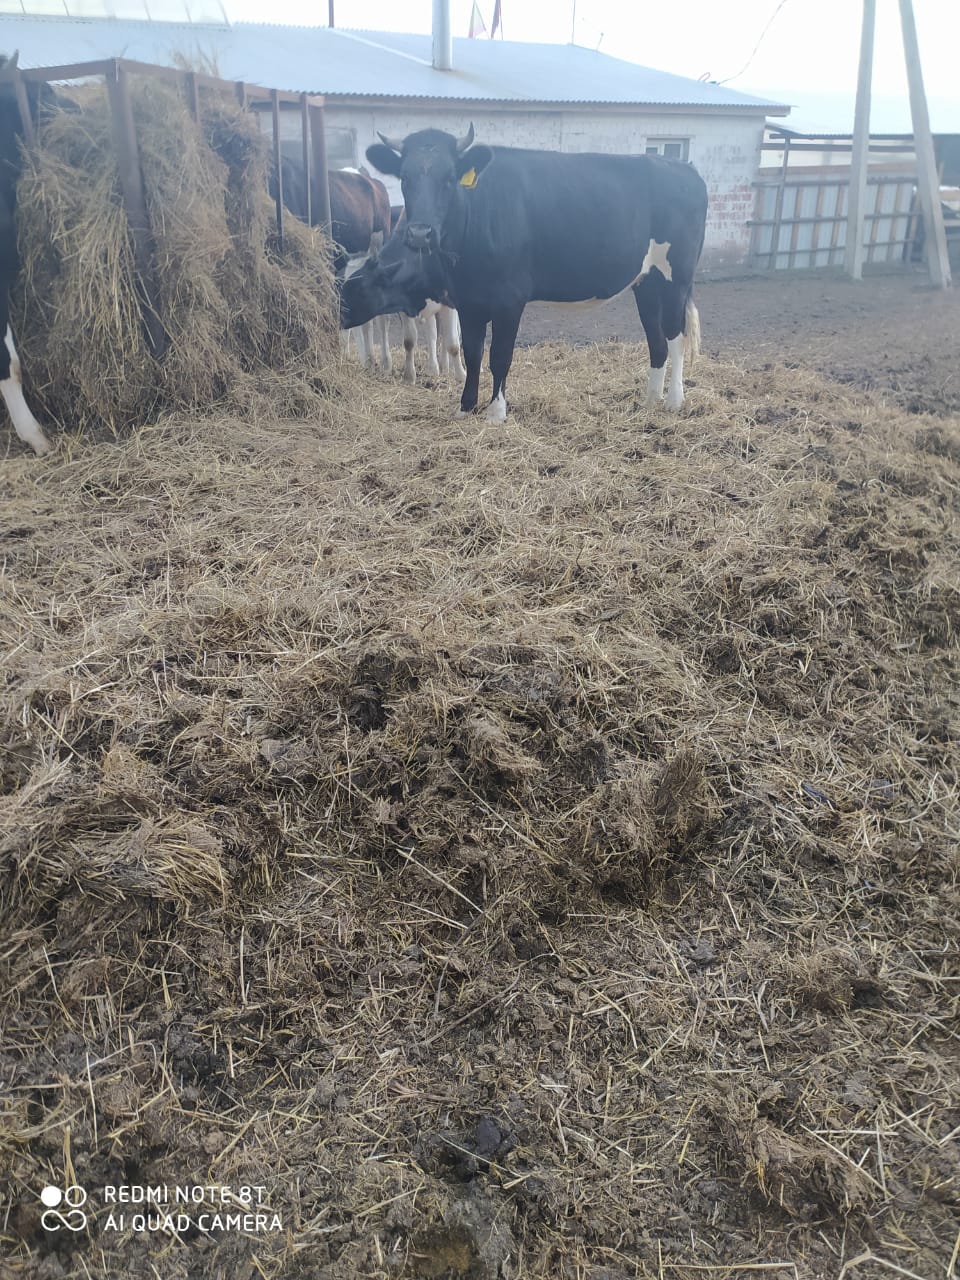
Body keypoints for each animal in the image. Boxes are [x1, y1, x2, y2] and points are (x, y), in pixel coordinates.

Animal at [343, 128, 711, 422]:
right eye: (404, 178)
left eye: (449, 178)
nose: (420, 233)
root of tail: (685, 168)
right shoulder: (468, 300)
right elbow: (472, 353)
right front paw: (465, 406)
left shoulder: (509, 299)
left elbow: (499, 356)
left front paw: (496, 412)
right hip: (646, 282)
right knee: (656, 341)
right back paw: (650, 401)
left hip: (676, 277)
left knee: (676, 335)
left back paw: (674, 401)